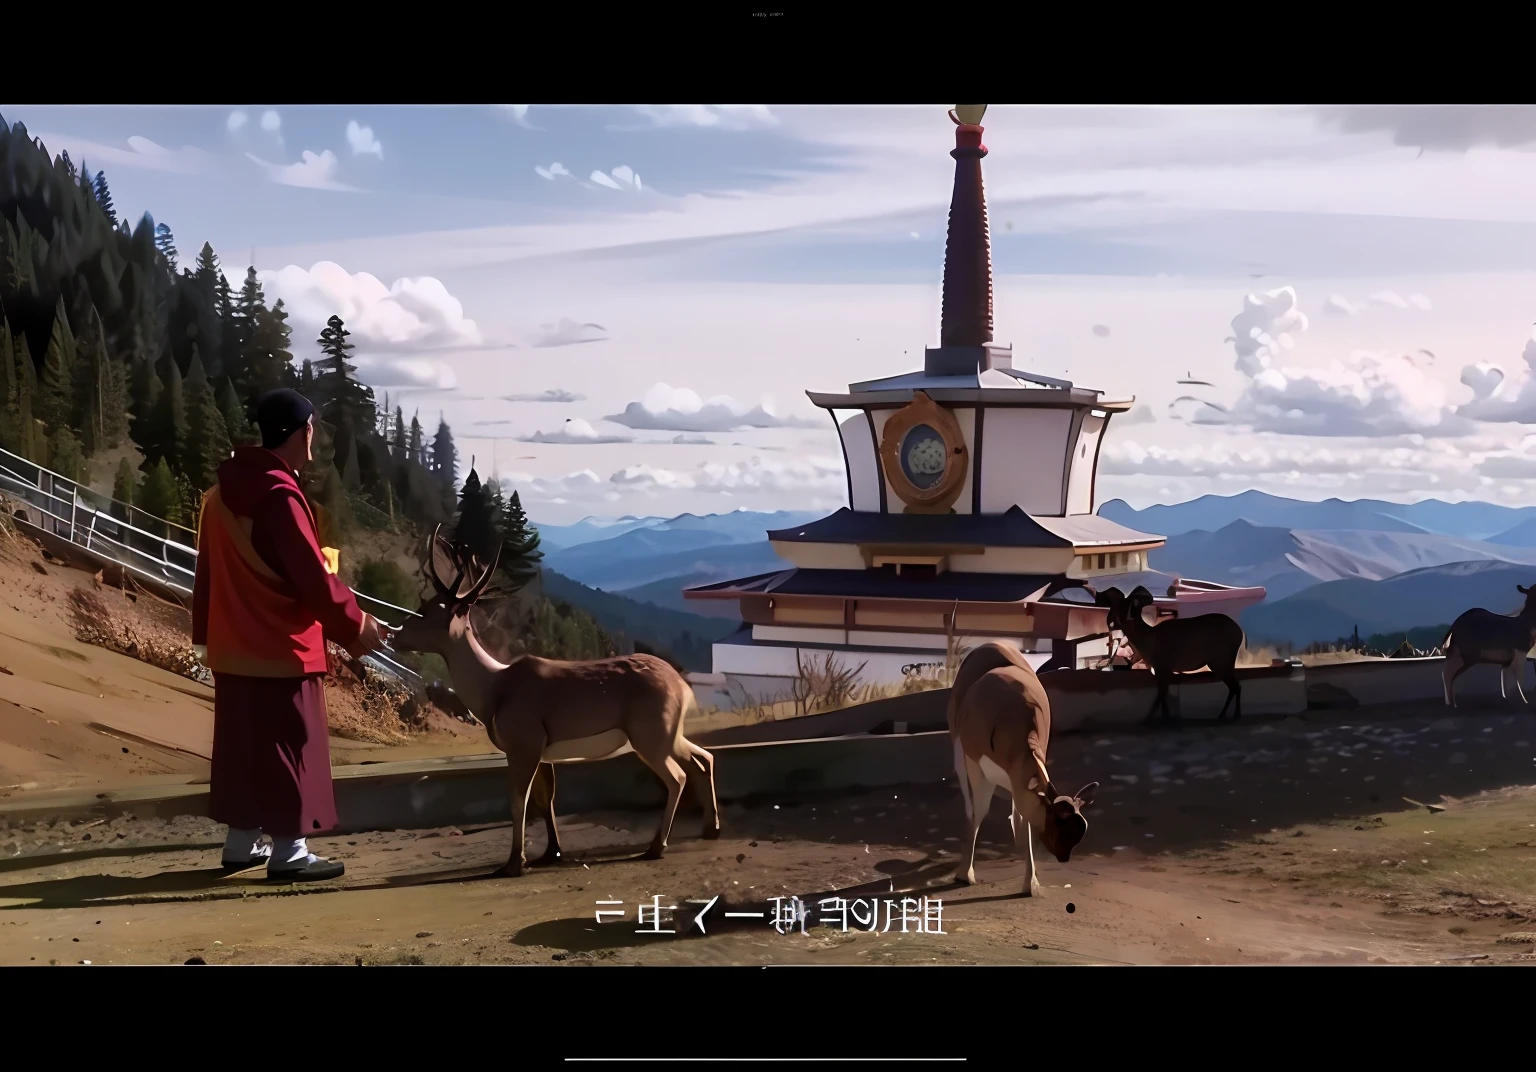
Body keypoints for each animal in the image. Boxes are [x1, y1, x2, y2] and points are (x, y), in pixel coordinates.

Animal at [384, 531, 718, 872]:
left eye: (426, 611)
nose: (393, 634)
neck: (494, 690)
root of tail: (683, 687)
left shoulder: (525, 742)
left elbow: (519, 801)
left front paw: (514, 863)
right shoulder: (542, 752)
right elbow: (547, 801)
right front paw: (549, 854)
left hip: (649, 735)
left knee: (677, 776)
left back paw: (656, 846)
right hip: (668, 734)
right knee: (703, 757)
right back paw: (710, 828)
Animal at [940, 638, 1099, 890]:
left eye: (1079, 829)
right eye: (1057, 820)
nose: (1064, 857)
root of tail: (991, 644)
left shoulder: (1019, 777)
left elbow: (1024, 820)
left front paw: (1031, 882)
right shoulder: (975, 764)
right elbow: (979, 811)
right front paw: (965, 874)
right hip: (959, 750)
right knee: (969, 804)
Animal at [1093, 583, 1247, 727]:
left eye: (1122, 605)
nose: (1110, 623)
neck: (1147, 638)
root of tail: (1239, 632)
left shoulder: (1163, 669)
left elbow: (1161, 696)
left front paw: (1162, 719)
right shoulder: (1160, 672)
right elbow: (1161, 696)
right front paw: (1157, 718)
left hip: (1221, 663)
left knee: (1235, 687)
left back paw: (1234, 715)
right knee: (1234, 687)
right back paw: (1223, 715)